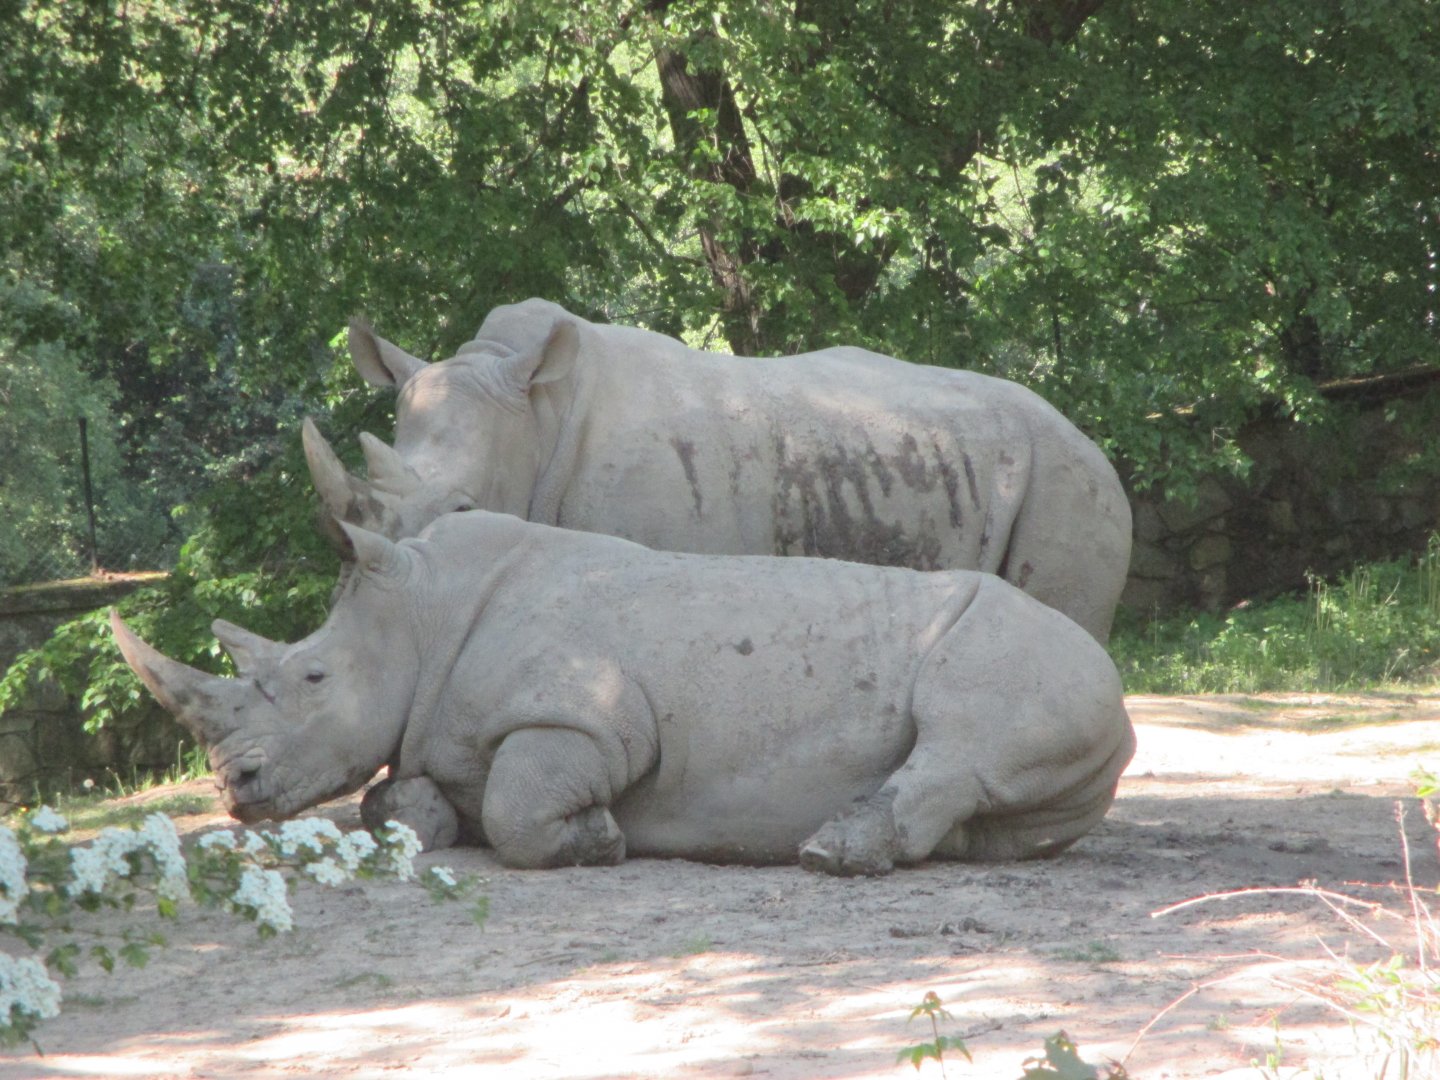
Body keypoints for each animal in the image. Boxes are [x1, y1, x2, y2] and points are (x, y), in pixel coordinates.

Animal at [112, 510, 1135, 874]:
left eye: (313, 678)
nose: (234, 787)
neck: (424, 612)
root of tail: (1126, 710)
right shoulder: (438, 730)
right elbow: (389, 800)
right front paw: (430, 820)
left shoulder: (588, 720)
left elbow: (521, 810)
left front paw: (600, 838)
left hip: (1035, 651)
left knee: (962, 734)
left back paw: (827, 854)